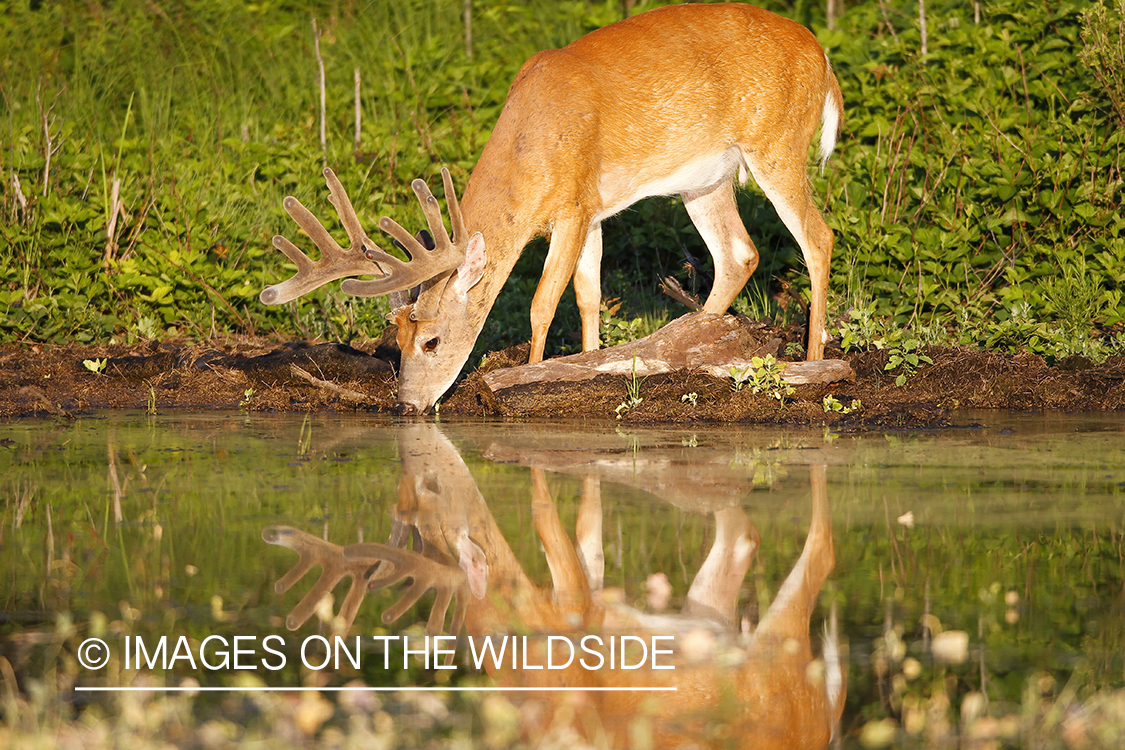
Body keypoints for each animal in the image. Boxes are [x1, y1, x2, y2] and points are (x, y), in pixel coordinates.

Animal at [263, 2, 841, 413]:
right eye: (396, 339)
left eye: (431, 340)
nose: (406, 405)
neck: (531, 142)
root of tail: (823, 57)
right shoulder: (594, 210)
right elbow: (588, 297)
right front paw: (589, 363)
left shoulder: (573, 206)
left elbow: (542, 304)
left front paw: (526, 377)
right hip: (706, 179)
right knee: (738, 253)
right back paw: (692, 341)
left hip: (778, 142)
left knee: (818, 236)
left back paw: (813, 362)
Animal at [265, 425, 846, 746]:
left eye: (430, 496)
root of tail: (832, 717)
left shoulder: (576, 614)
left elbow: (549, 521)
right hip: (709, 617)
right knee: (740, 538)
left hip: (784, 658)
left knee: (819, 555)